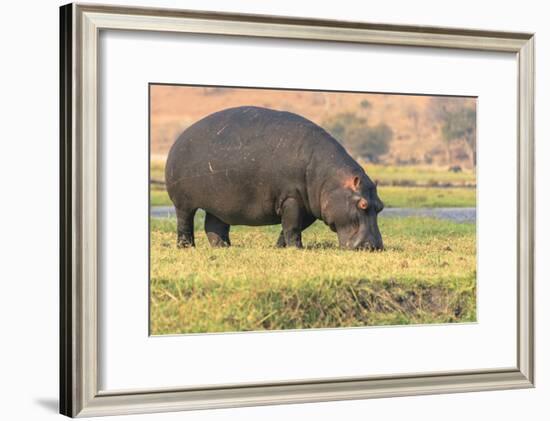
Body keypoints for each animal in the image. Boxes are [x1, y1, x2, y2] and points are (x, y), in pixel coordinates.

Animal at [166, 106, 386, 249]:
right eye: (363, 204)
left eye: (381, 206)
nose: (375, 247)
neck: (331, 180)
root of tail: (180, 137)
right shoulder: (291, 199)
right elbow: (292, 226)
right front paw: (297, 249)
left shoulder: (308, 207)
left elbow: (291, 227)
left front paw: (280, 247)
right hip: (183, 202)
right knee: (185, 222)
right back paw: (186, 247)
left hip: (218, 204)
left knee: (214, 225)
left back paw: (223, 247)